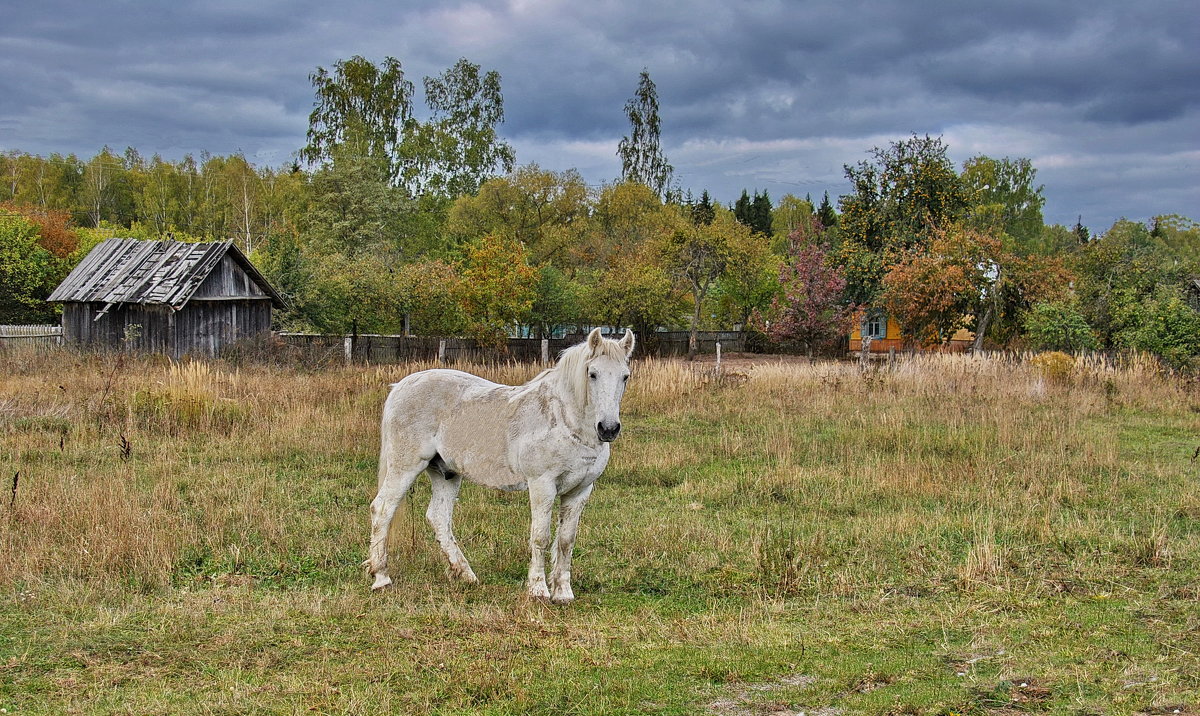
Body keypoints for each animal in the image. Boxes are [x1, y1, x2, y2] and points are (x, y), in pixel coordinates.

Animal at [367, 326, 638, 599]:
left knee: (439, 518)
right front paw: (538, 590)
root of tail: (400, 386)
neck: (565, 420)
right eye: (592, 374)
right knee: (383, 509)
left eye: (625, 376)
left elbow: (566, 540)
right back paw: (381, 577)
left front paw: (563, 593)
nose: (608, 429)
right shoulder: (542, 485)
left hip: (446, 472)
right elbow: (541, 536)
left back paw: (465, 574)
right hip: (405, 467)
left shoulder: (580, 490)